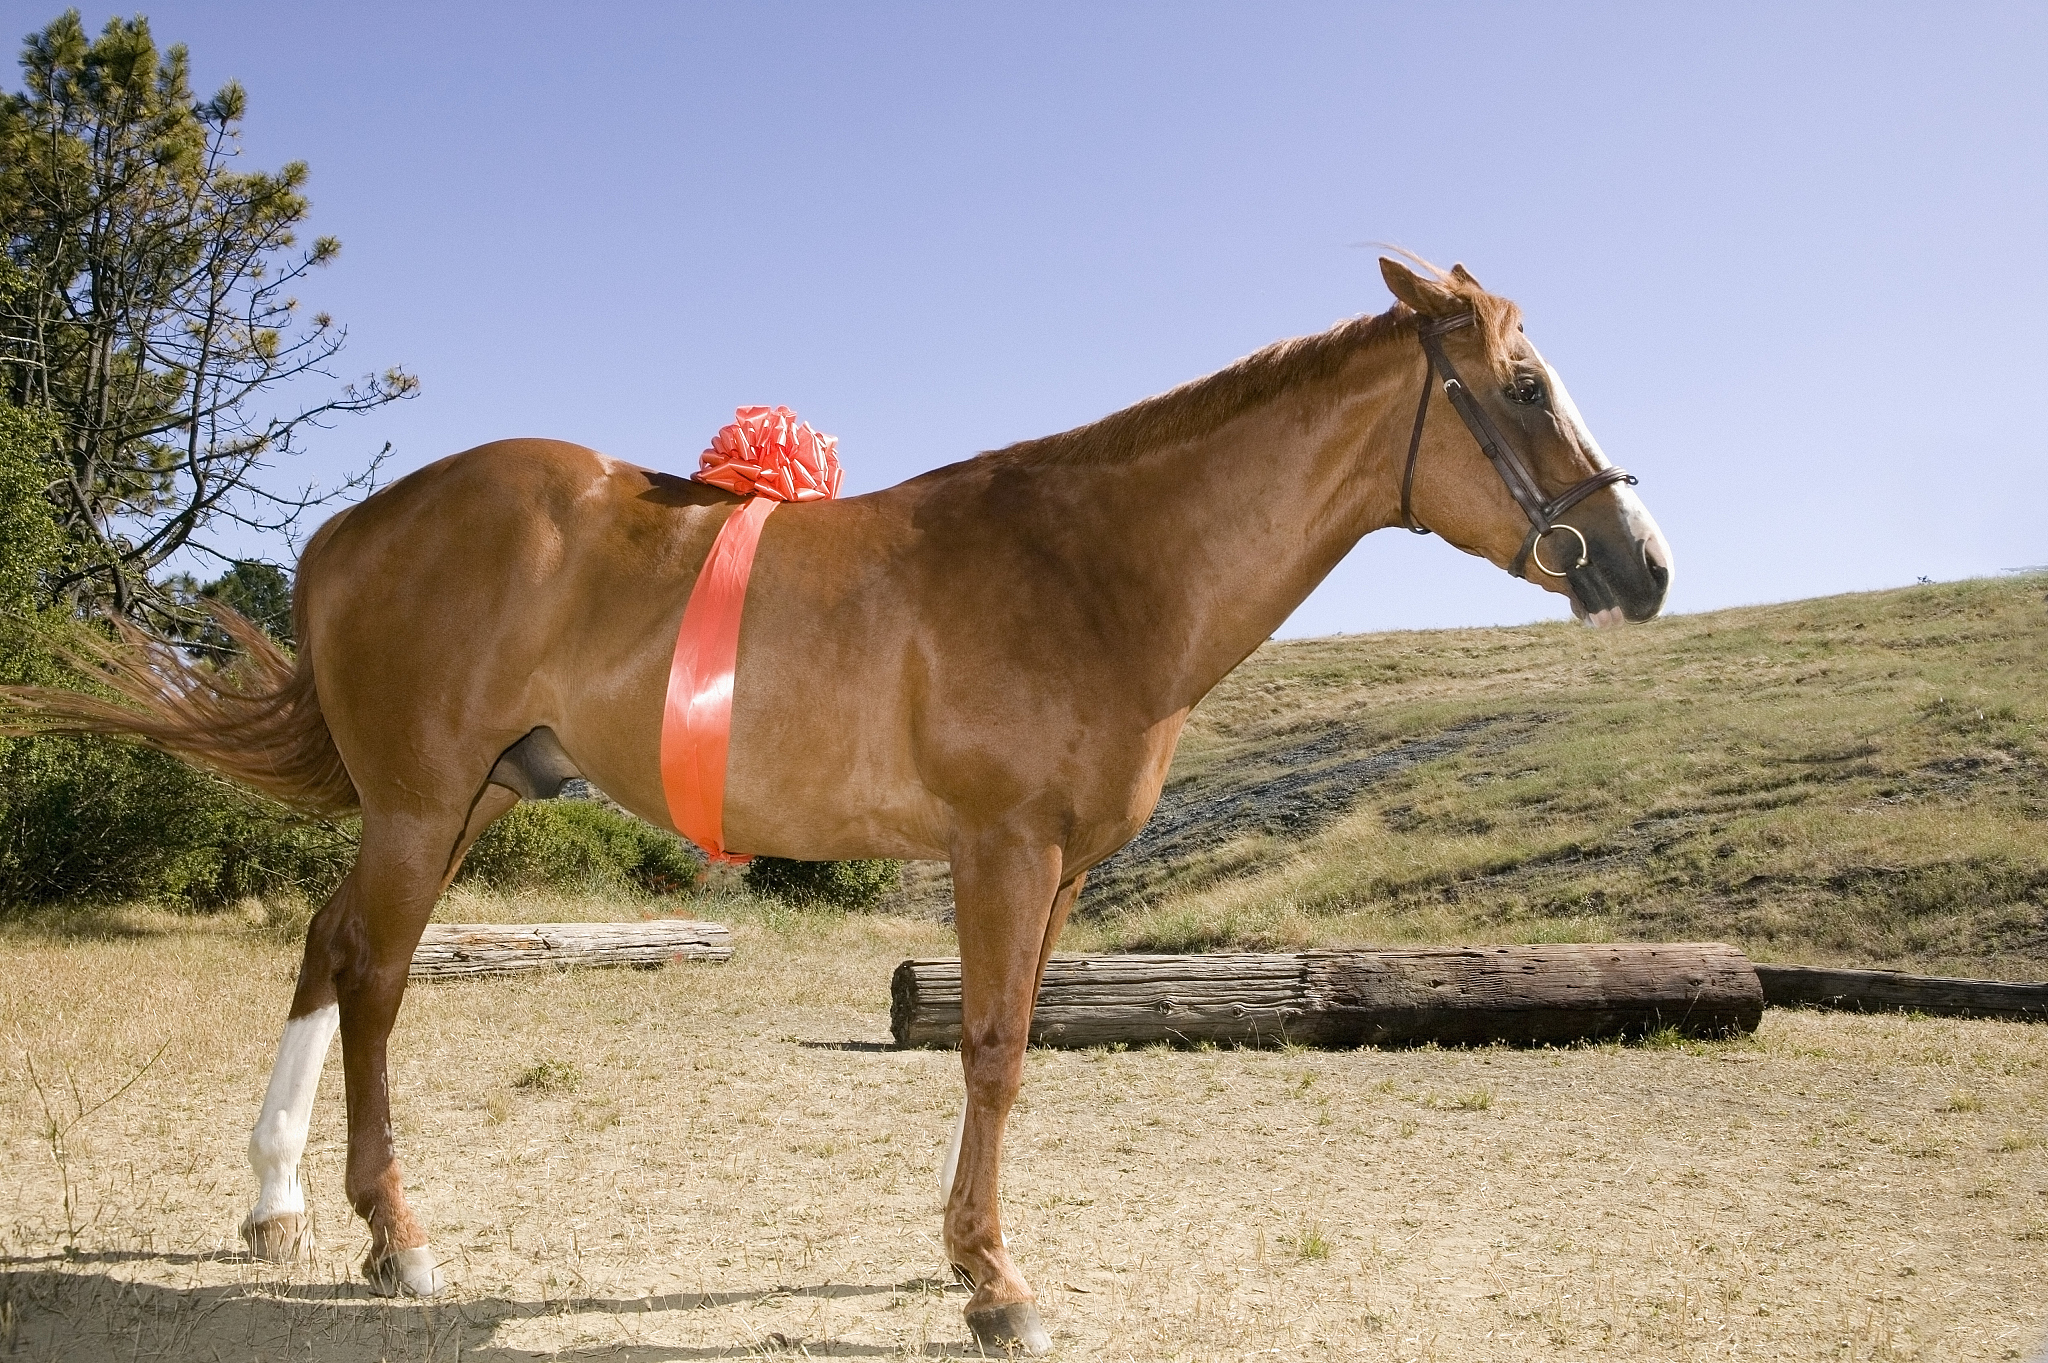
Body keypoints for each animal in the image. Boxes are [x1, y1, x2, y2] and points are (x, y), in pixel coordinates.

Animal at [6, 258, 1670, 1352]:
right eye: (1525, 385)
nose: (1643, 566)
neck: (1095, 566)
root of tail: (354, 523)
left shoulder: (1056, 874)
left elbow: (1012, 1048)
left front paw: (959, 1247)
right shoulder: (1003, 850)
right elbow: (992, 1050)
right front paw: (998, 1283)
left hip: (460, 800)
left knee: (323, 942)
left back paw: (276, 1203)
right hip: (424, 810)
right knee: (376, 976)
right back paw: (392, 1237)